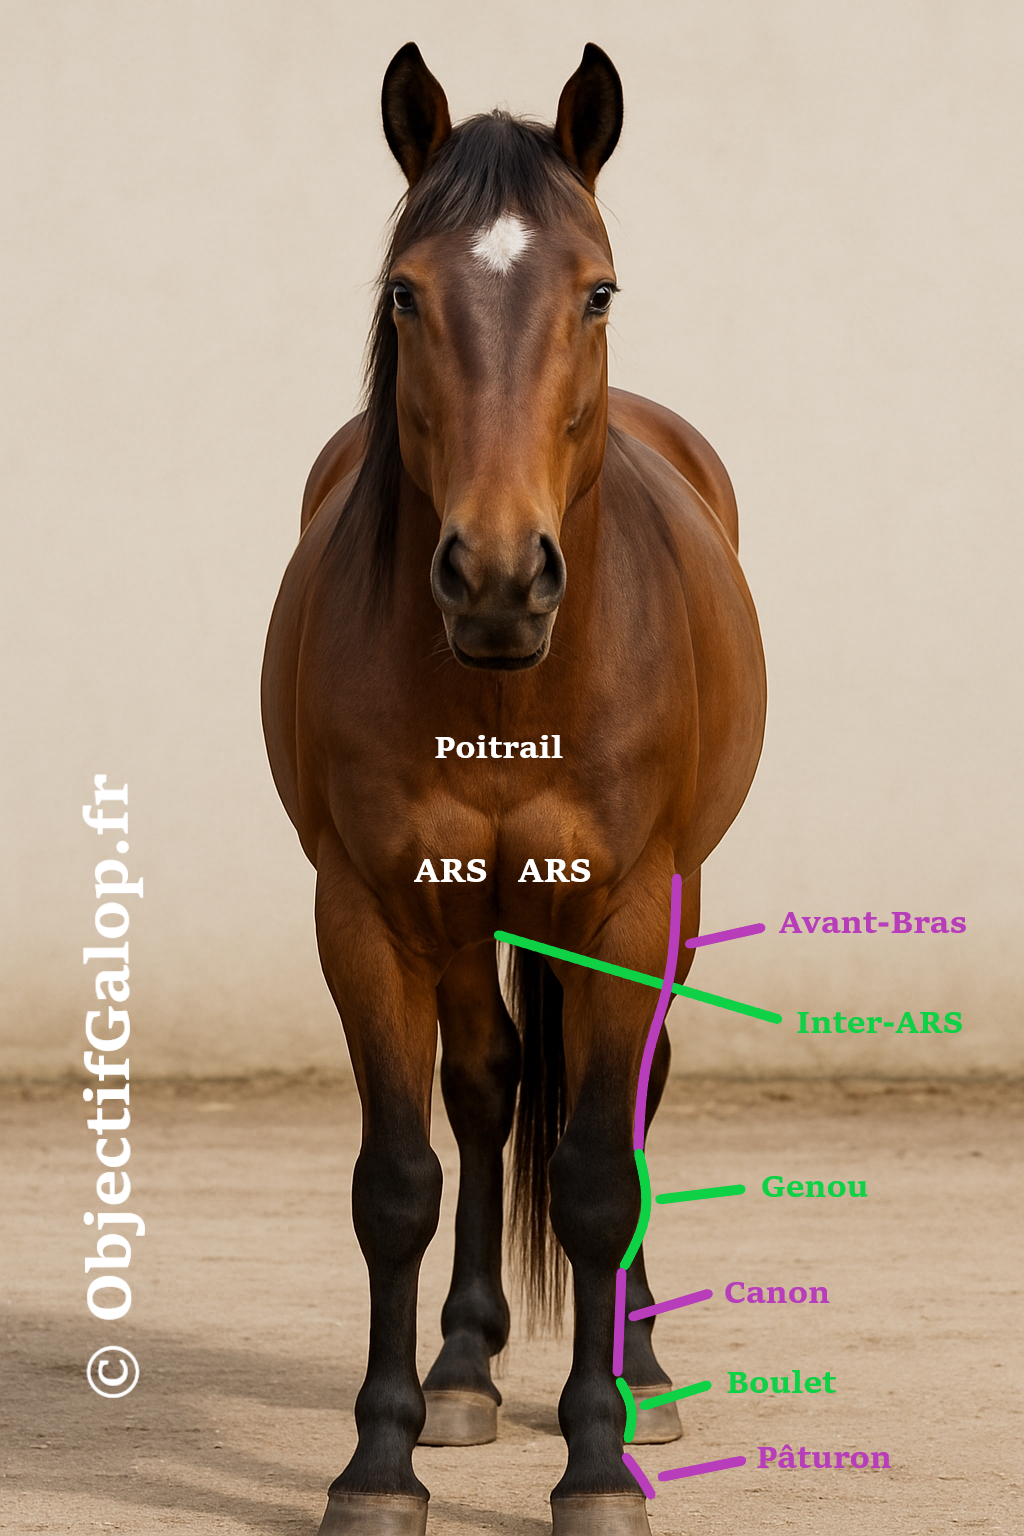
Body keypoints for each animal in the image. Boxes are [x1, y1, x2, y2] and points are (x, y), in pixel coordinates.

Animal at [262, 41, 765, 1536]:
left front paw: (598, 1463)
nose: (496, 577)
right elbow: (399, 1180)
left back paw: (640, 1366)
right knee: (485, 1089)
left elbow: (595, 1174)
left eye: (596, 290)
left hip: (670, 904)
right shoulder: (368, 914)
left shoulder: (622, 908)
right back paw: (467, 1365)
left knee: (632, 1098)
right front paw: (382, 1458)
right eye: (405, 292)